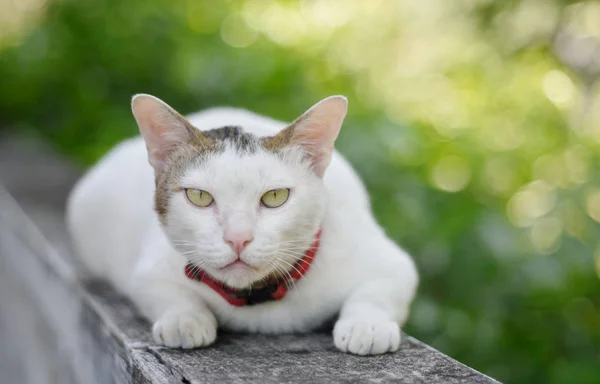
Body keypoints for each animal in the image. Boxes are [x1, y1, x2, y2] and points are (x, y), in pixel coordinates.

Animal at [67, 94, 418, 356]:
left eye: (275, 196)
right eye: (199, 196)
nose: (238, 238)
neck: (258, 303)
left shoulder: (390, 261)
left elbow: (377, 290)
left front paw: (367, 325)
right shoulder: (149, 269)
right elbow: (164, 291)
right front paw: (185, 318)